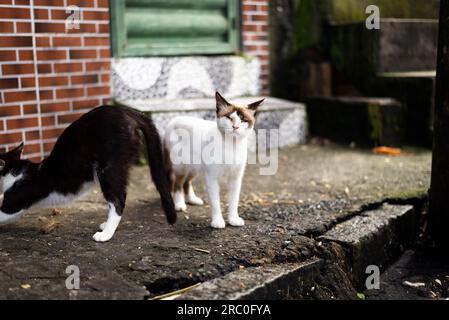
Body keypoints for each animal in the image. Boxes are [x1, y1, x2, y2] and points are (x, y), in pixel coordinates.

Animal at [0, 105, 176, 242]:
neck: (15, 171)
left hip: (108, 168)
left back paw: (105, 234)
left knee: (118, 200)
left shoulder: (13, 203)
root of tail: (128, 111)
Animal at [164, 91, 262, 229]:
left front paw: (233, 219)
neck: (231, 145)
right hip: (181, 166)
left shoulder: (235, 178)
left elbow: (234, 201)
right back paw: (179, 204)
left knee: (186, 182)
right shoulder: (212, 178)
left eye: (243, 120)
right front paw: (218, 222)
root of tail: (174, 119)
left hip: (194, 167)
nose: (235, 127)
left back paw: (192, 200)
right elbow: (216, 202)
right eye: (229, 117)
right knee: (178, 183)